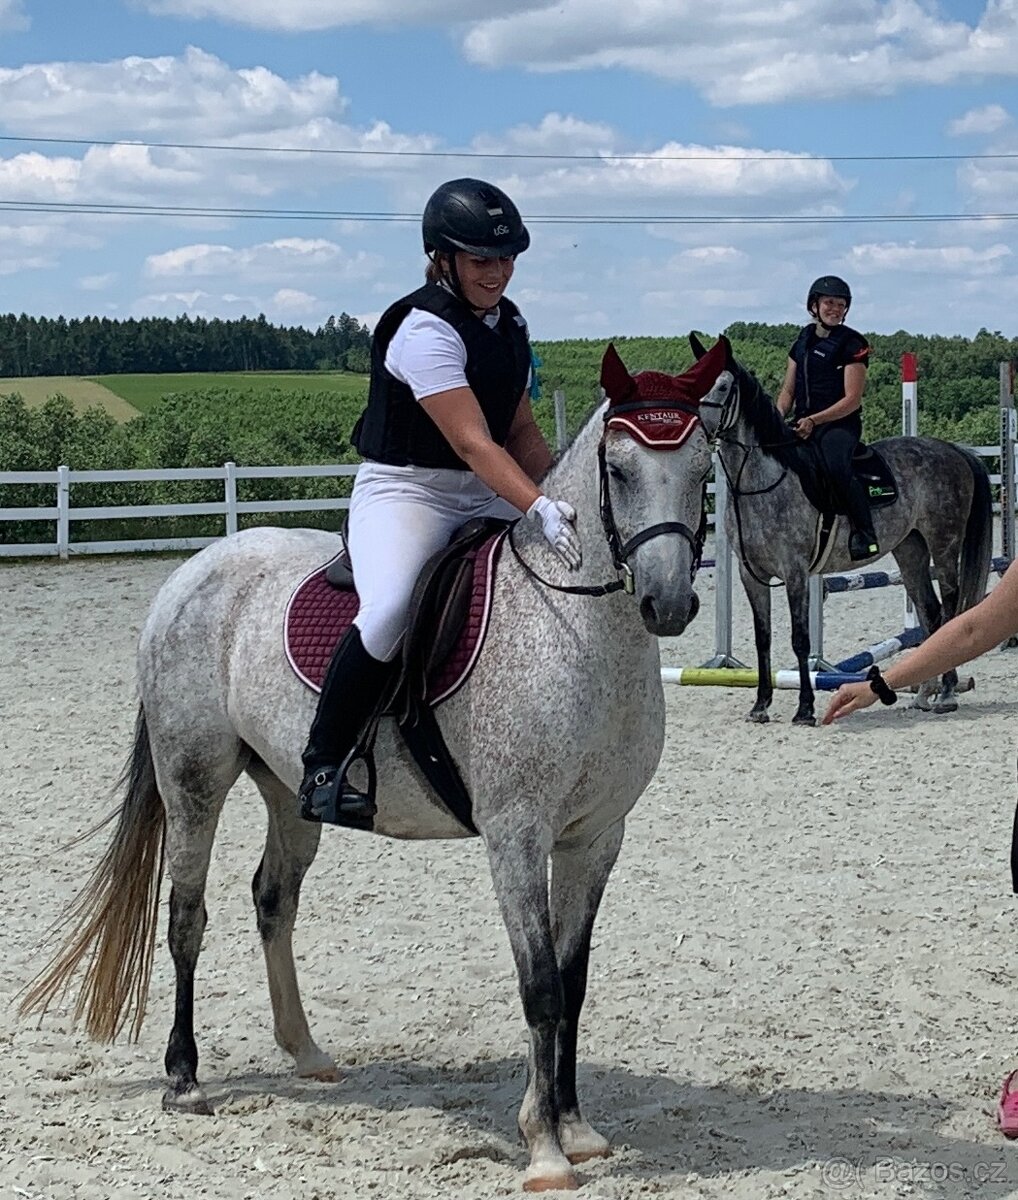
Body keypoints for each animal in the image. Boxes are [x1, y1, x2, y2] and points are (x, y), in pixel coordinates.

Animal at [21, 339, 729, 1192]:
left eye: (702, 465)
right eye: (618, 470)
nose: (668, 604)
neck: (576, 626)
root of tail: (196, 570)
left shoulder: (595, 837)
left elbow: (574, 982)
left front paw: (579, 1128)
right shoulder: (516, 835)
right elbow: (539, 986)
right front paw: (544, 1149)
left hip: (288, 790)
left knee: (274, 900)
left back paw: (306, 1052)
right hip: (195, 780)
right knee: (187, 914)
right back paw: (184, 1079)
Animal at [688, 333, 993, 726]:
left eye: (723, 386)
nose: (697, 432)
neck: (764, 482)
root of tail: (953, 450)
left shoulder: (795, 572)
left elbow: (800, 639)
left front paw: (804, 708)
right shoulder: (750, 573)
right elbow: (763, 638)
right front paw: (760, 706)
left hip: (944, 544)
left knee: (951, 610)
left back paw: (947, 692)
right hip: (910, 550)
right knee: (930, 611)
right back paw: (925, 693)